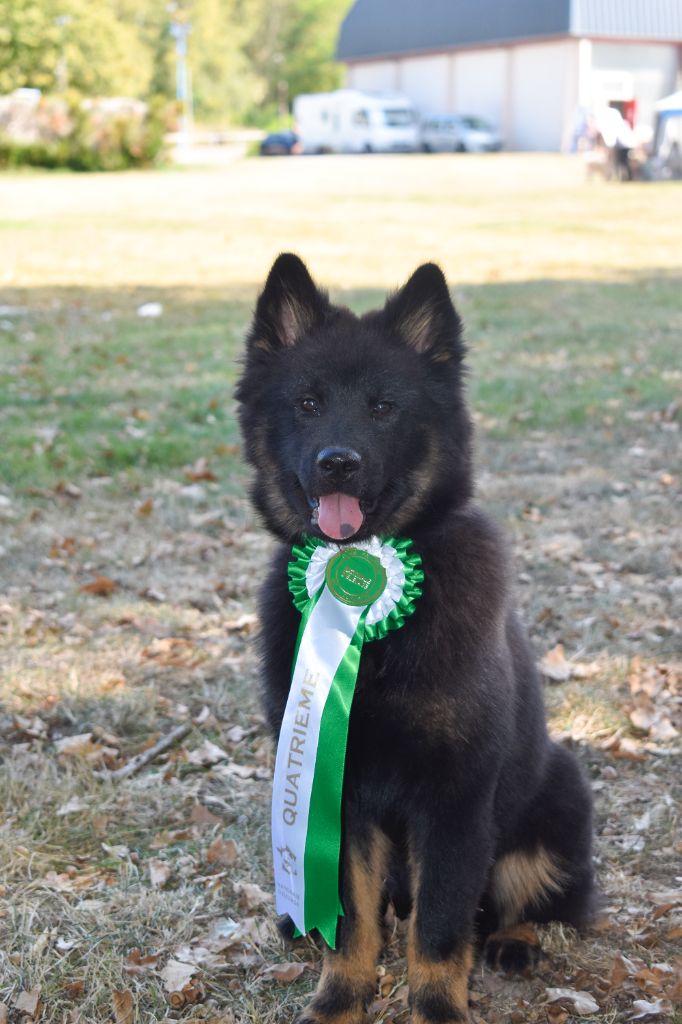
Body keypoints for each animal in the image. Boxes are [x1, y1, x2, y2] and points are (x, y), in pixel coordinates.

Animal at [236, 256, 593, 1024]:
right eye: (307, 403)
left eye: (383, 407)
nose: (337, 462)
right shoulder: (337, 796)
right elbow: (353, 924)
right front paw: (340, 1000)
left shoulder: (455, 799)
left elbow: (440, 929)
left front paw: (437, 1009)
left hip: (557, 799)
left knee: (534, 903)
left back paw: (514, 943)